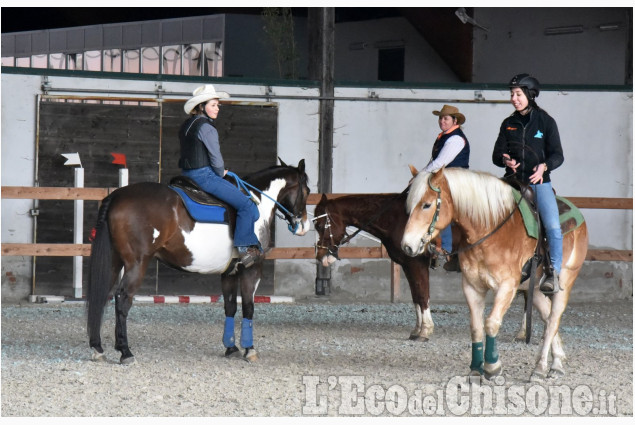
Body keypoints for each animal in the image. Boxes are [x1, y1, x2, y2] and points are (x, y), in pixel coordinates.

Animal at [86, 157, 310, 362]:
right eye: (307, 190)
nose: (303, 225)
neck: (257, 203)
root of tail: (117, 195)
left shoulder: (230, 272)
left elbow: (230, 306)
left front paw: (231, 348)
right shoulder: (252, 268)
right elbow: (248, 307)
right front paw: (249, 349)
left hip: (114, 263)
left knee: (103, 295)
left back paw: (97, 348)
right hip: (137, 264)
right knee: (122, 299)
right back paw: (125, 351)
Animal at [404, 167, 588, 380]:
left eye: (427, 204)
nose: (407, 245)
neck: (490, 230)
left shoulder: (507, 286)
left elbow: (491, 323)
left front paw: (492, 367)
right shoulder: (472, 286)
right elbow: (476, 327)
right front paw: (476, 367)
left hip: (565, 280)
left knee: (553, 320)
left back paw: (540, 368)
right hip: (533, 289)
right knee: (548, 316)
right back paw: (557, 363)